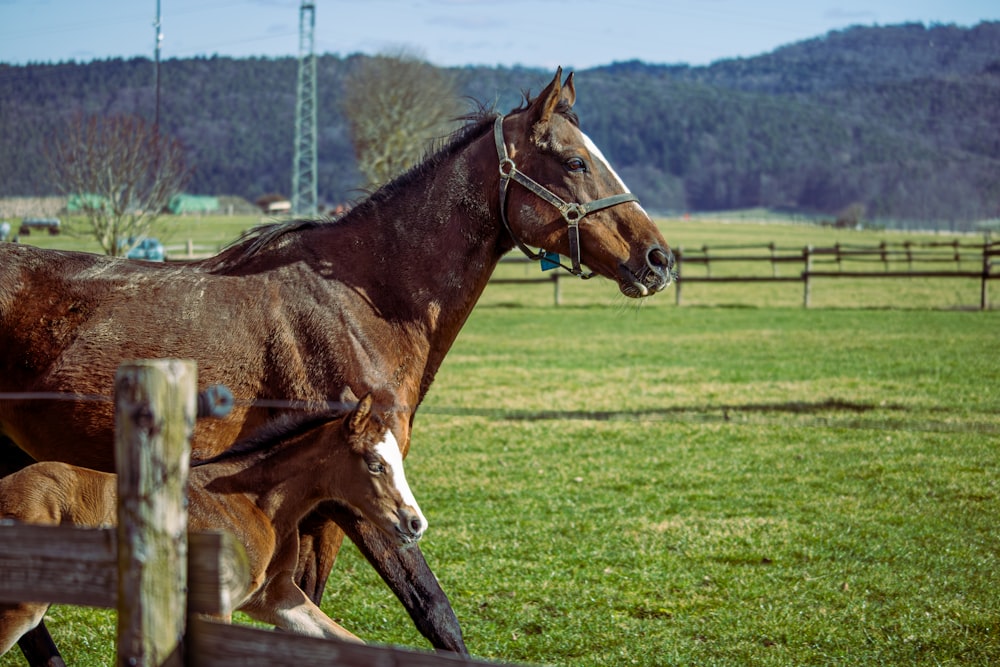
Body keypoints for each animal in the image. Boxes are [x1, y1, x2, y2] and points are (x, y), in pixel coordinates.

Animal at [0, 69, 676, 656]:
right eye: (575, 162)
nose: (659, 258)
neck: (362, 303)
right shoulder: (357, 498)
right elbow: (435, 612)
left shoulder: (324, 507)